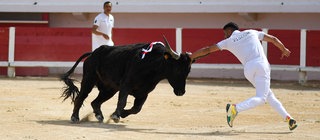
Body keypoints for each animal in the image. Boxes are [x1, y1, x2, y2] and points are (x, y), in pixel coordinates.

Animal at [61, 36, 191, 123]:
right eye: (178, 69)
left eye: (188, 71)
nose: (181, 92)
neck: (152, 63)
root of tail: (93, 53)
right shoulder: (126, 85)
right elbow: (122, 101)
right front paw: (116, 116)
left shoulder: (144, 93)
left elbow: (137, 108)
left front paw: (121, 114)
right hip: (89, 79)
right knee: (80, 97)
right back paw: (75, 117)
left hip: (109, 89)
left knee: (95, 102)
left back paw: (99, 116)